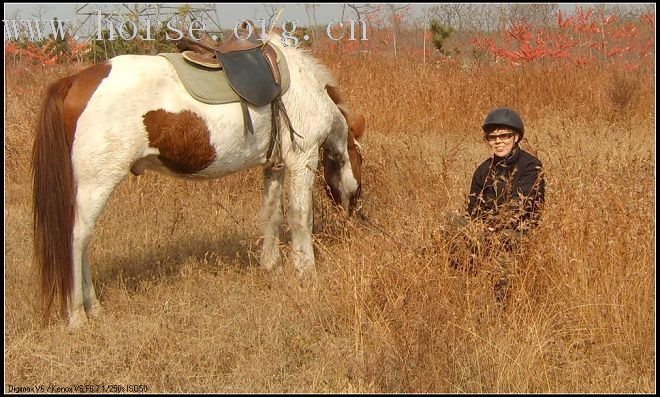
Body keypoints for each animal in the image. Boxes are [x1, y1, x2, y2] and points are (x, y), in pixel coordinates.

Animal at [32, 33, 366, 328]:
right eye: (361, 161)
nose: (355, 214)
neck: (304, 86)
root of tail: (74, 82)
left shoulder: (275, 165)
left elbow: (271, 214)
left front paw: (270, 265)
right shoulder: (301, 160)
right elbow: (300, 218)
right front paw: (306, 273)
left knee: (83, 242)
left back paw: (95, 309)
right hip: (97, 184)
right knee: (77, 239)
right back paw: (77, 315)